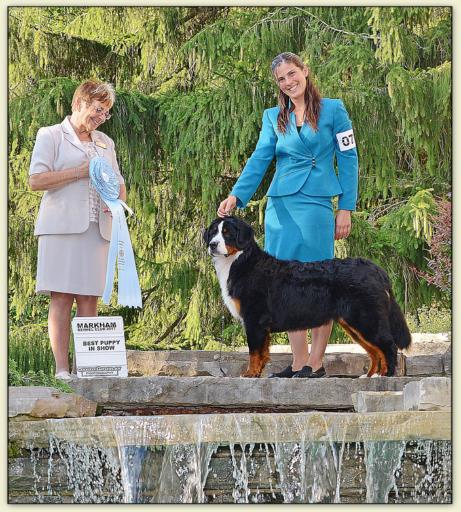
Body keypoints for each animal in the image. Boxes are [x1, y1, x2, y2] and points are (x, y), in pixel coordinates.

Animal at [203, 214, 412, 378]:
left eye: (227, 233)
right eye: (213, 232)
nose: (212, 245)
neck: (239, 262)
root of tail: (375, 268)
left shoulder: (254, 319)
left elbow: (254, 352)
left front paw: (250, 374)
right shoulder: (258, 324)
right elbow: (262, 352)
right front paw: (257, 373)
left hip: (366, 319)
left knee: (388, 345)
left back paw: (386, 375)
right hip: (354, 324)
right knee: (375, 351)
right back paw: (370, 375)